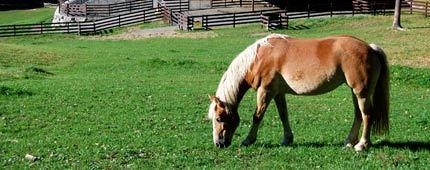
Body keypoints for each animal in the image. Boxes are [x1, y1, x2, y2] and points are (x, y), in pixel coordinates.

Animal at [208, 33, 390, 151]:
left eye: (218, 118)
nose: (219, 143)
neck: (259, 58)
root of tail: (370, 48)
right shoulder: (278, 93)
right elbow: (283, 115)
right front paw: (287, 139)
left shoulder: (265, 90)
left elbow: (257, 116)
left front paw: (248, 140)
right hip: (355, 92)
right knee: (358, 115)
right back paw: (349, 142)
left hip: (361, 92)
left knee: (367, 115)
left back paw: (362, 145)